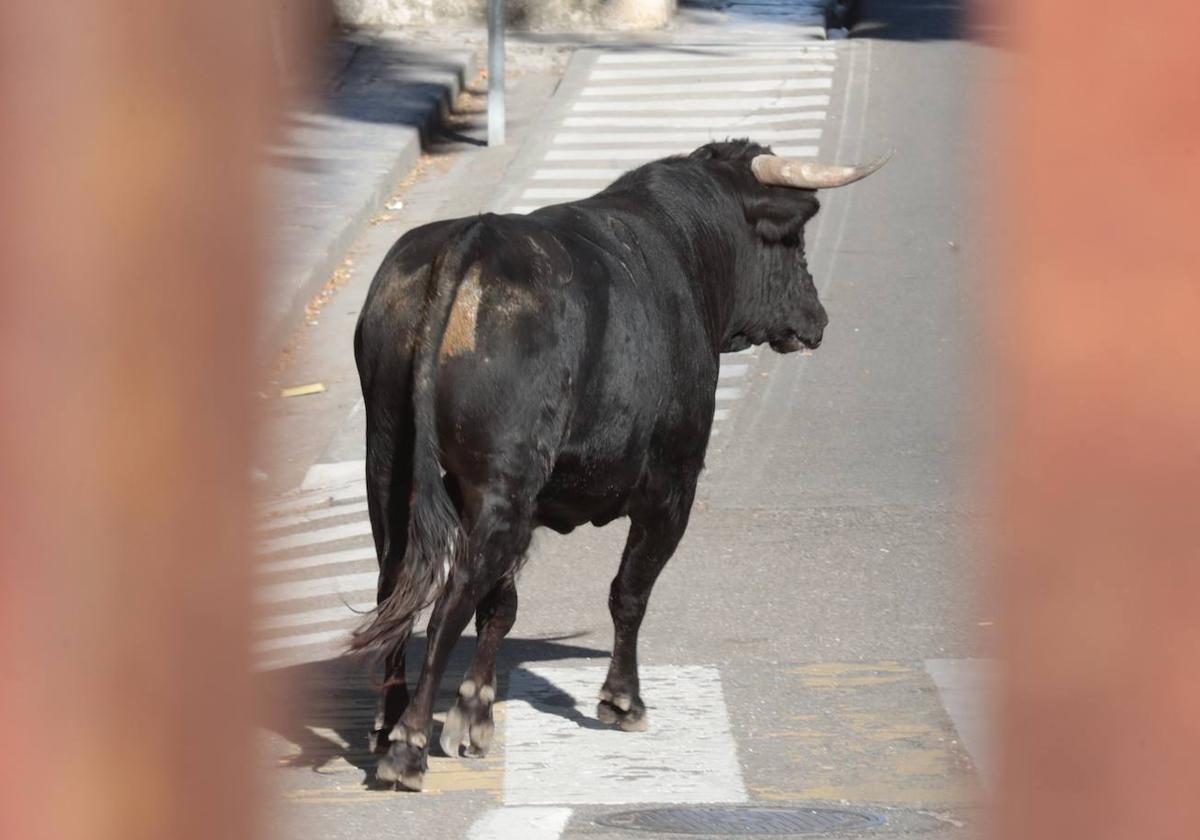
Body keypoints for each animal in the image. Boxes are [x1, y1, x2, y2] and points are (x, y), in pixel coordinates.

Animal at [350, 138, 888, 787]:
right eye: (792, 243)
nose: (818, 318)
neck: (681, 244)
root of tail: (472, 239)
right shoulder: (672, 486)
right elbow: (629, 591)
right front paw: (623, 699)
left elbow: (502, 608)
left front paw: (475, 714)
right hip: (501, 488)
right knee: (449, 599)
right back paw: (407, 747)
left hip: (388, 469)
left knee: (396, 585)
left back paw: (388, 723)